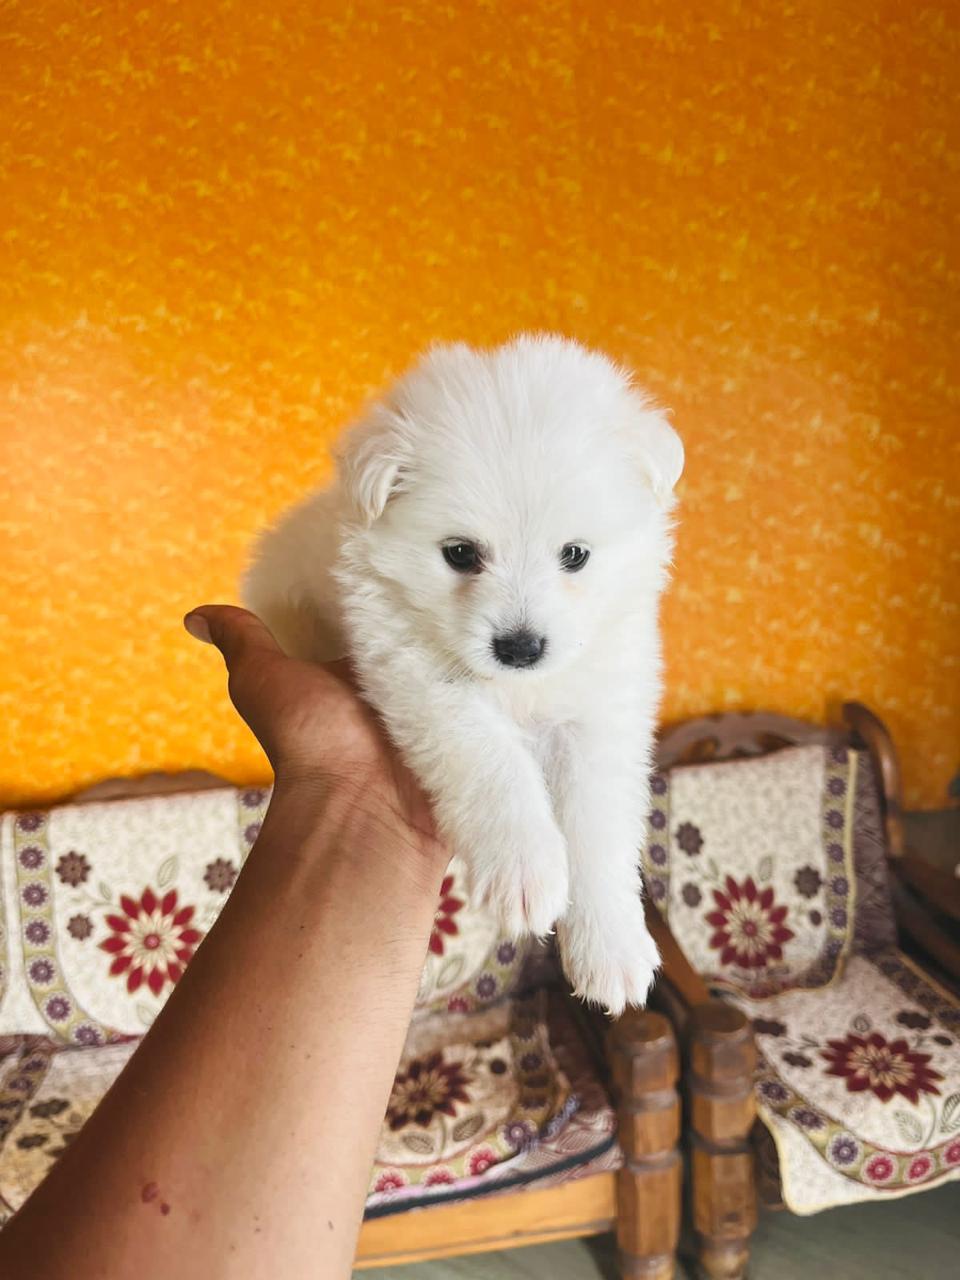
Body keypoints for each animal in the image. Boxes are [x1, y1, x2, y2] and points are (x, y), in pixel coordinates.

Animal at [244, 335, 686, 1013]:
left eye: (575, 555)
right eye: (459, 553)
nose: (520, 648)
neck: (521, 688)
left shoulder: (603, 708)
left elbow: (598, 821)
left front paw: (610, 950)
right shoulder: (418, 669)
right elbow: (489, 759)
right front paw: (524, 869)